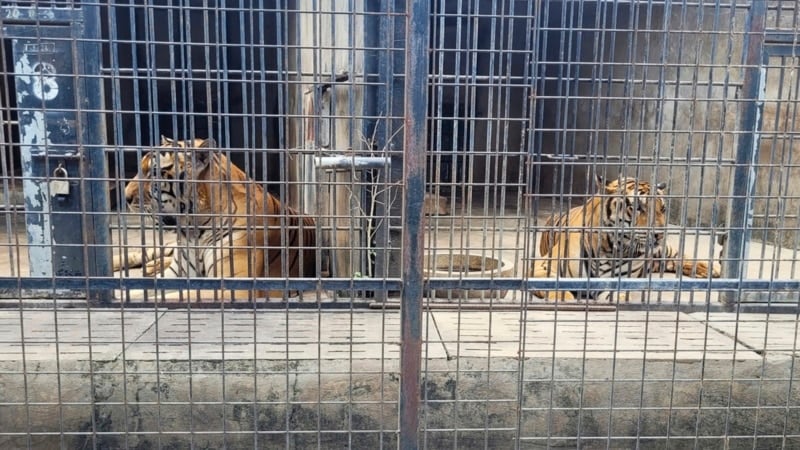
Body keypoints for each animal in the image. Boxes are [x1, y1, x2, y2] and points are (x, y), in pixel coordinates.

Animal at [115, 135, 316, 300]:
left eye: (155, 173)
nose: (125, 197)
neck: (194, 231)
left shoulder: (234, 286)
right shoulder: (176, 274)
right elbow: (138, 291)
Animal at [528, 176, 720, 302]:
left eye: (663, 209)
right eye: (637, 207)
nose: (659, 234)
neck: (610, 247)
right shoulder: (543, 267)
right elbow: (558, 291)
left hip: (664, 250)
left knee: (680, 256)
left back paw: (711, 269)